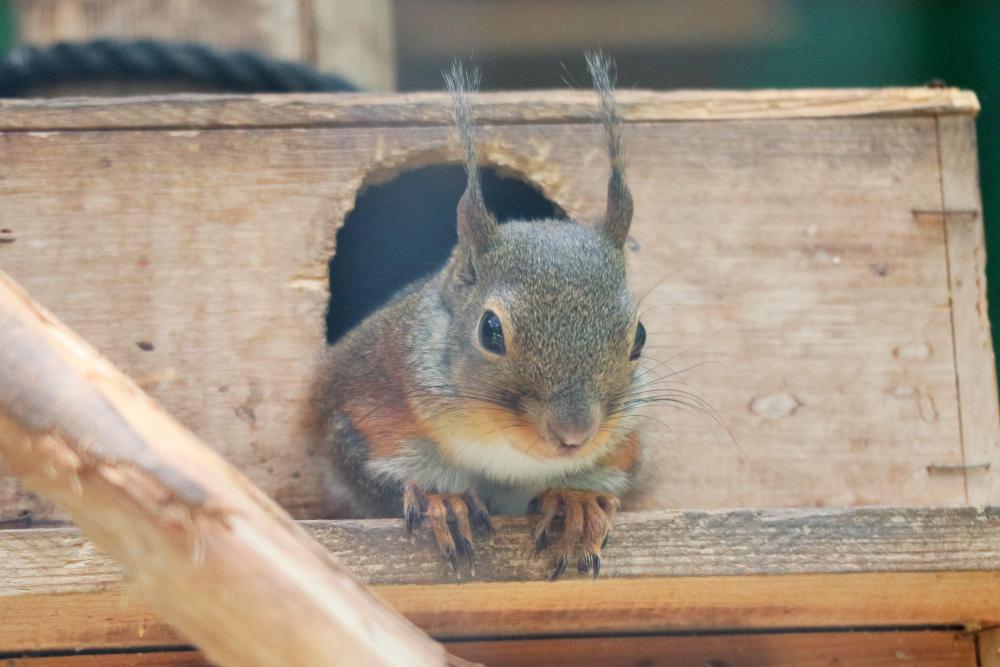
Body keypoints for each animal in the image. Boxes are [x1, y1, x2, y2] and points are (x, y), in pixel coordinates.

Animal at [308, 54, 644, 580]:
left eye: (639, 338)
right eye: (490, 331)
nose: (574, 434)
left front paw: (577, 501)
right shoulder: (360, 411)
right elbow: (370, 474)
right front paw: (440, 499)